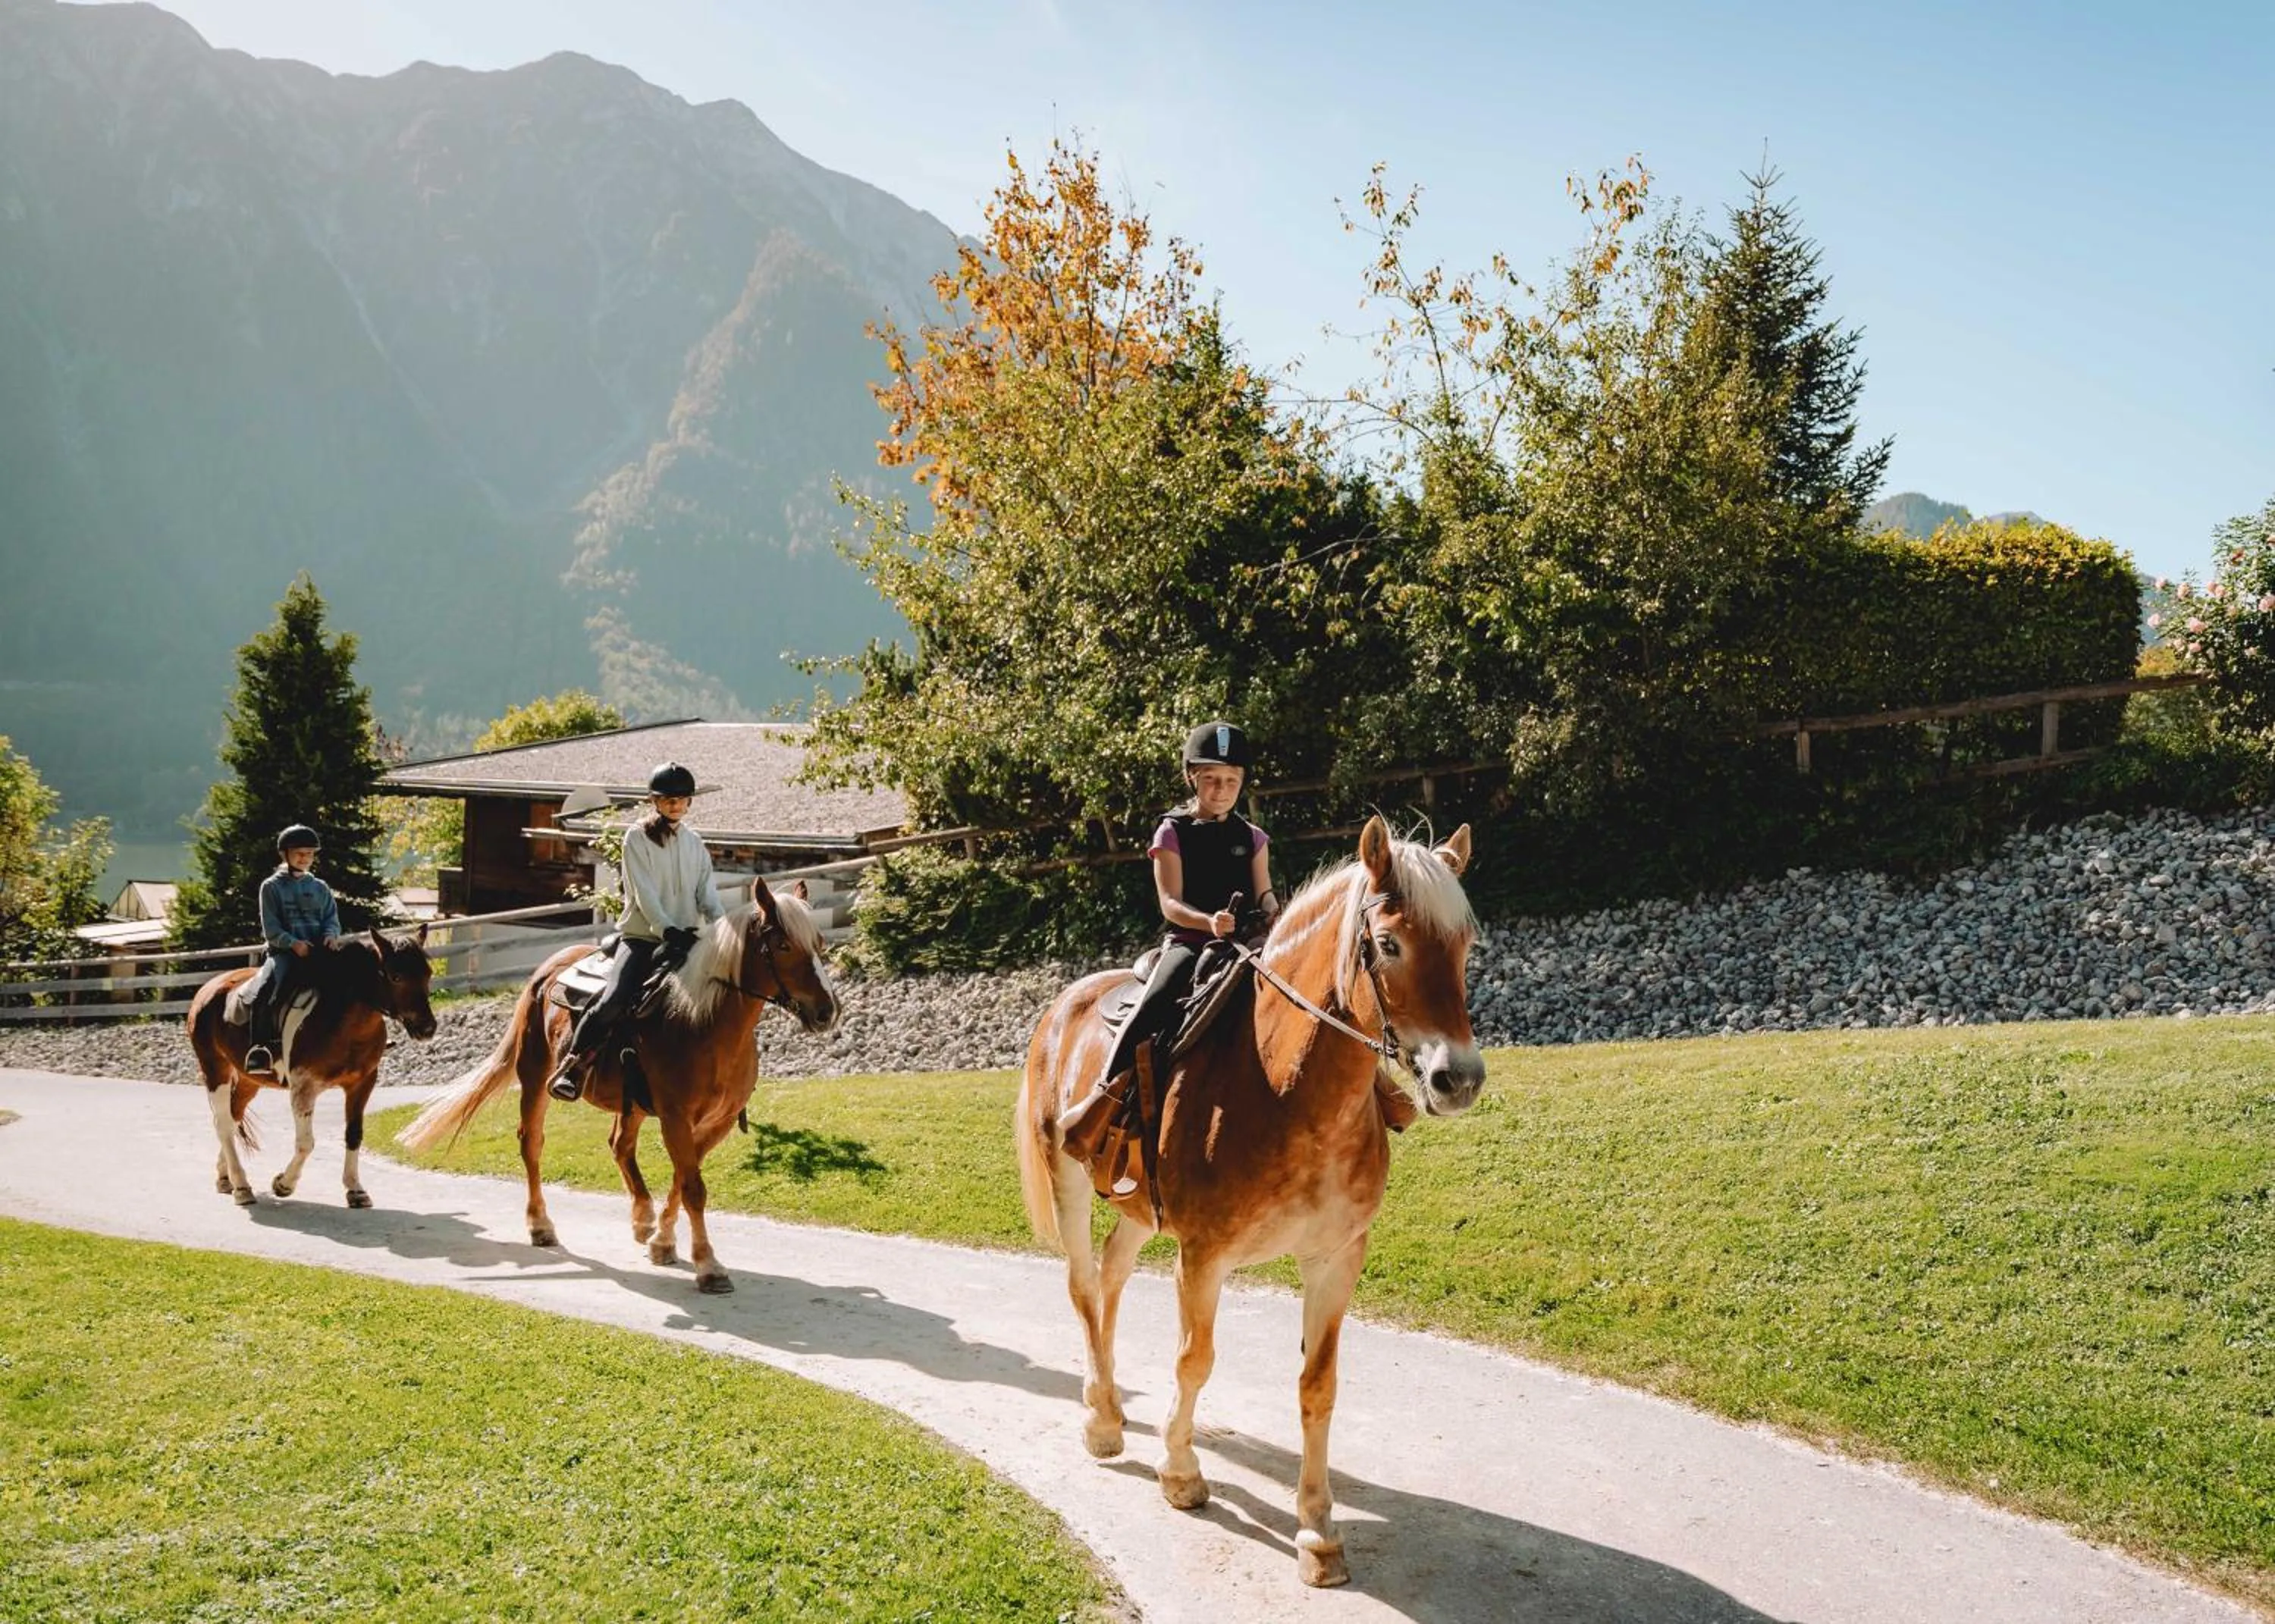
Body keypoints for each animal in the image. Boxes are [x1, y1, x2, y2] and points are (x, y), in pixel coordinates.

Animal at [187, 926, 440, 1209]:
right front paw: (284, 1184)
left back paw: (226, 1177)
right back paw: (242, 1187)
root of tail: (208, 988)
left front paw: (355, 1189)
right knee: (223, 1123)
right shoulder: (304, 1086)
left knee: (233, 1117)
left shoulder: (362, 1084)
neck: (344, 1024)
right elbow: (306, 1143)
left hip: (249, 1080)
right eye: (396, 976)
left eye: (428, 973)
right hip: (214, 1068)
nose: (427, 1028)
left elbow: (354, 1134)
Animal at [397, 881, 837, 1294]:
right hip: (536, 1079)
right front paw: (709, 1266)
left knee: (620, 1145)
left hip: (634, 1106)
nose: (826, 1012)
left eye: (818, 943)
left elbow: (682, 1178)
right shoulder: (675, 1117)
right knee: (532, 1143)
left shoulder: (718, 1122)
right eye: (783, 944)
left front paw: (663, 1242)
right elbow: (693, 1187)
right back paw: (541, 1225)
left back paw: (642, 1218)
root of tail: (548, 970)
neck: (702, 1023)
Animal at [1017, 815, 1484, 1588]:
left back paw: (1108, 1400)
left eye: (1466, 946)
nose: (1460, 1079)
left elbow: (1318, 1387)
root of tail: (1067, 1004)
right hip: (1070, 1178)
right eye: (1389, 943)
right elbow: (1194, 1361)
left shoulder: (1335, 1259)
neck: (1284, 1083)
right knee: (1084, 1285)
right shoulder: (1203, 1255)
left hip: (1139, 1209)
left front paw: (1318, 1531)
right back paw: (1102, 1421)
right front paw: (1180, 1472)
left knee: (1111, 1276)